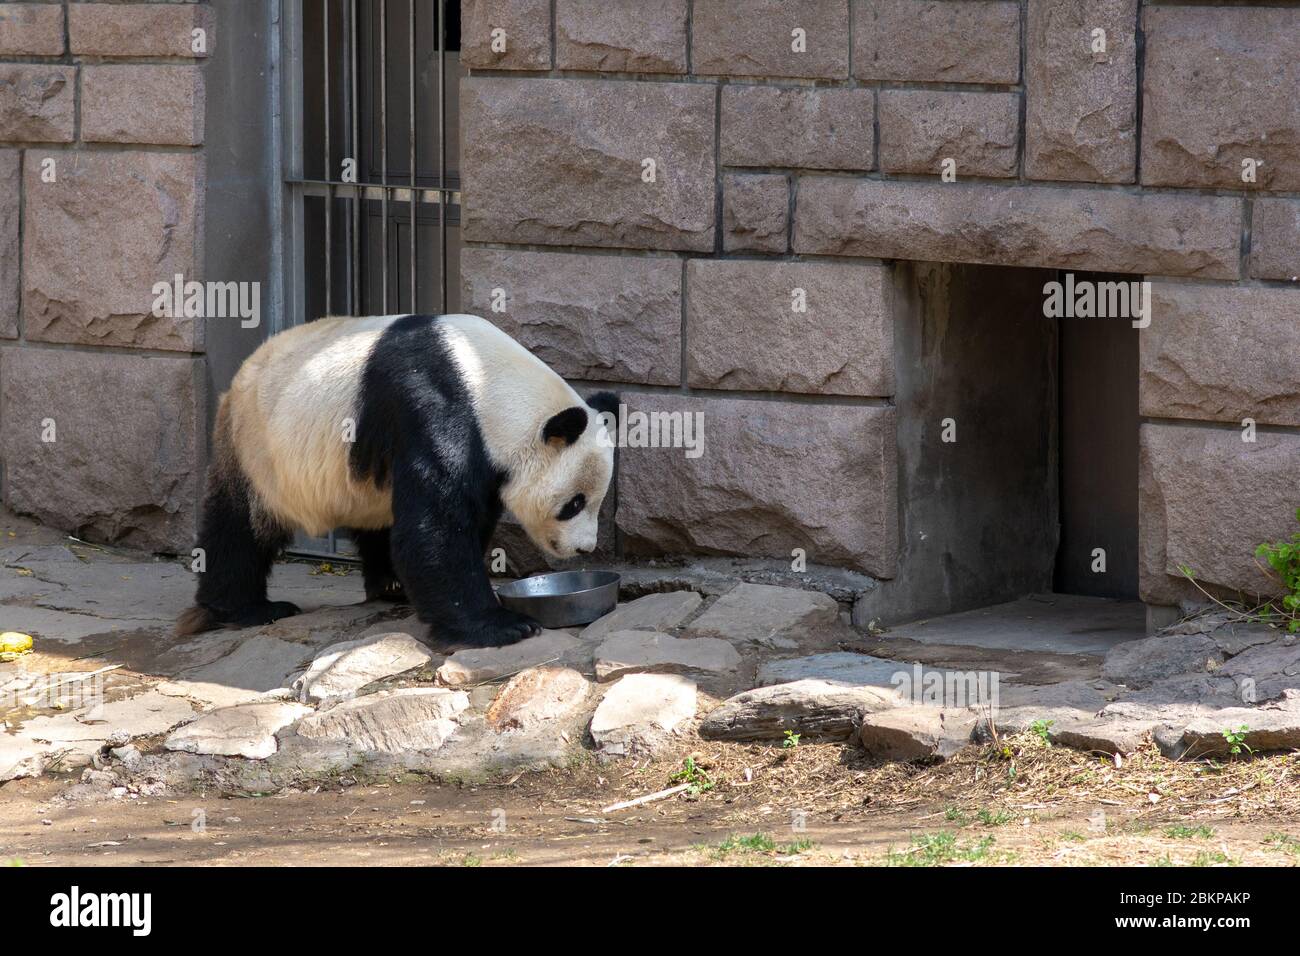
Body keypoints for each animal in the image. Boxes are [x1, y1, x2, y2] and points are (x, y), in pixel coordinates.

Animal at [178, 314, 618, 650]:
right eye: (574, 503)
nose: (584, 548)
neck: (486, 378)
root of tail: (238, 380)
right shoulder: (433, 406)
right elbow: (435, 527)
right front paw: (502, 625)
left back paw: (389, 584)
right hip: (259, 447)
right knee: (239, 527)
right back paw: (244, 609)